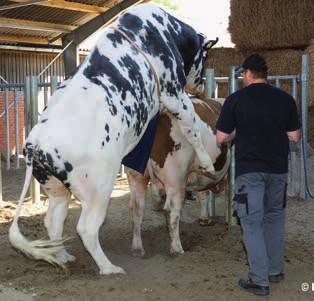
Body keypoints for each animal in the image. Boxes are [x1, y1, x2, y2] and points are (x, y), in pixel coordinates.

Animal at [8, 2, 217, 274]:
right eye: (205, 57)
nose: (200, 86)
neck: (161, 32)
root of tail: (36, 145)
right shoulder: (173, 93)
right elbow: (192, 127)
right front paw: (207, 164)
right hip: (99, 188)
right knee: (86, 228)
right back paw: (109, 268)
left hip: (56, 188)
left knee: (53, 220)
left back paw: (63, 256)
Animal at [125, 98, 231, 255]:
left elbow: (203, 194)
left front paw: (204, 219)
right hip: (176, 179)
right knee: (172, 210)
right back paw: (177, 248)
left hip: (136, 176)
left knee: (137, 208)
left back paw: (137, 248)